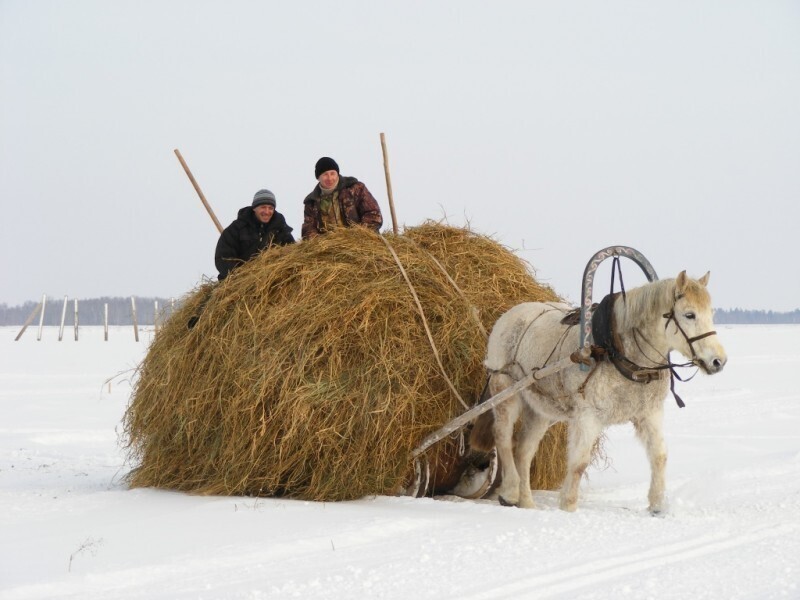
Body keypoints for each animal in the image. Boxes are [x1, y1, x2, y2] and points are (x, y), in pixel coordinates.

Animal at [472, 270, 728, 512]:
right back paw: (510, 491)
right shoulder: (587, 416)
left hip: (540, 409)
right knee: (503, 438)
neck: (616, 350)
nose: (718, 361)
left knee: (523, 450)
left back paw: (526, 502)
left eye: (711, 314)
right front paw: (568, 505)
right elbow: (578, 462)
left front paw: (657, 506)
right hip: (505, 390)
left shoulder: (649, 414)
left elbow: (659, 456)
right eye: (689, 315)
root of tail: (508, 315)